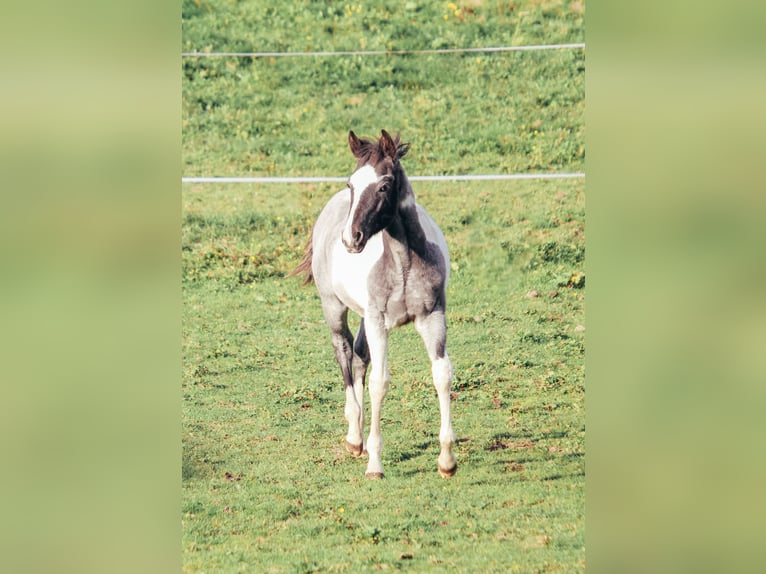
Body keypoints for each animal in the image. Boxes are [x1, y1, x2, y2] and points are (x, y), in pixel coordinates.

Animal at [292, 129, 457, 479]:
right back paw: (355, 438)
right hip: (335, 307)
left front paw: (447, 461)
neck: (404, 261)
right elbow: (380, 383)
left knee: (358, 356)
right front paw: (375, 465)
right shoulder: (379, 321)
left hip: (365, 316)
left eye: (383, 186)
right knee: (343, 351)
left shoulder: (432, 315)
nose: (350, 239)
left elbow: (442, 374)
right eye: (351, 184)